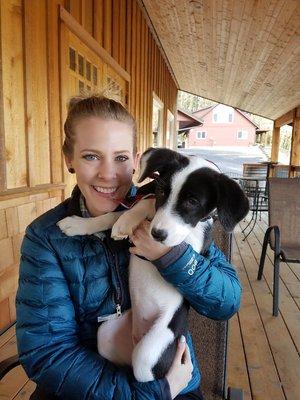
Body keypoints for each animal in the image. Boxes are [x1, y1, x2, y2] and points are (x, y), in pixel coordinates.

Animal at [56, 147, 248, 382]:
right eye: (162, 191)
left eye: (192, 202)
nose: (157, 234)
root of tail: (136, 338)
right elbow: (117, 213)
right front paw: (82, 224)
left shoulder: (193, 242)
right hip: (105, 334)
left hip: (149, 353)